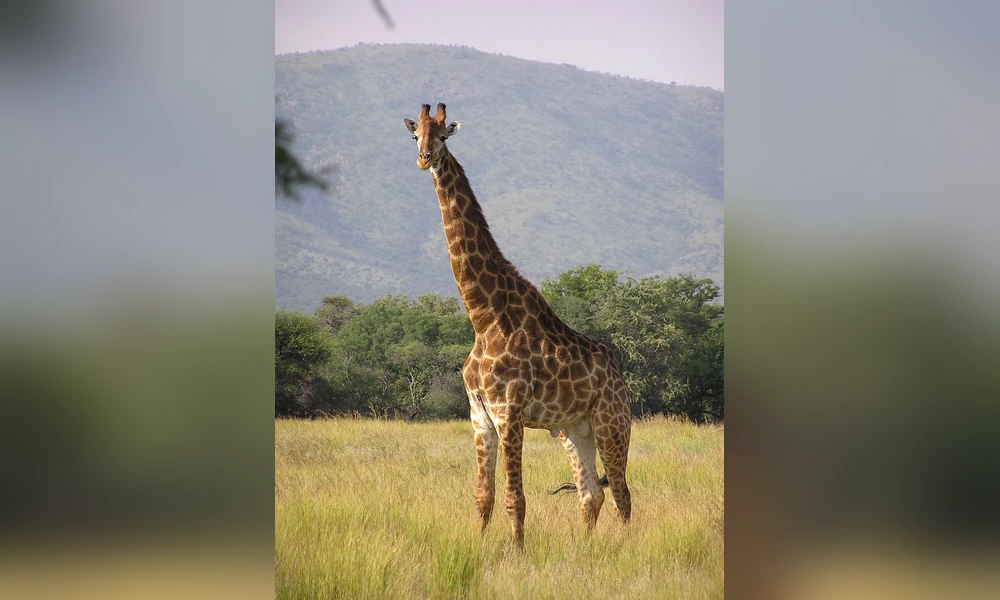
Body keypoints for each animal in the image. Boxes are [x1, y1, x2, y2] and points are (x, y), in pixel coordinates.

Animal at [403, 103, 632, 547]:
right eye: (415, 135)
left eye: (443, 135)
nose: (423, 159)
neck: (483, 317)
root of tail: (619, 375)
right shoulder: (479, 414)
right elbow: (483, 495)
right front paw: (478, 548)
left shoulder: (509, 410)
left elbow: (515, 498)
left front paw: (517, 553)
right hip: (573, 429)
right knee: (591, 493)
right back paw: (586, 549)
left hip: (612, 423)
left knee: (622, 494)